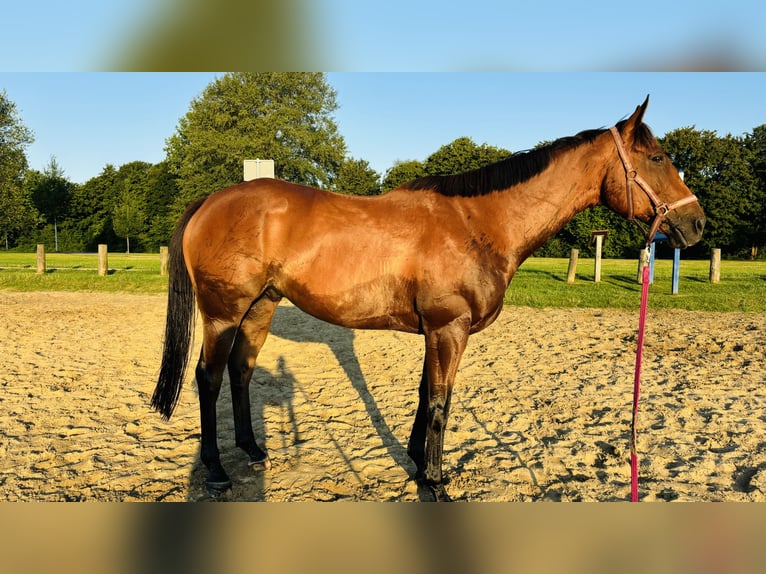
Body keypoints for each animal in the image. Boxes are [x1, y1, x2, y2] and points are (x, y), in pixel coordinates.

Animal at [152, 97, 708, 502]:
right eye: (657, 158)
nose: (697, 223)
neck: (479, 223)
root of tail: (211, 200)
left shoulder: (436, 333)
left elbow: (425, 396)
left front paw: (420, 465)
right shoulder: (448, 329)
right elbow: (441, 401)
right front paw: (437, 484)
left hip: (260, 307)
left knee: (242, 370)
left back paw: (252, 450)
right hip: (223, 312)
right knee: (209, 377)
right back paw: (217, 472)